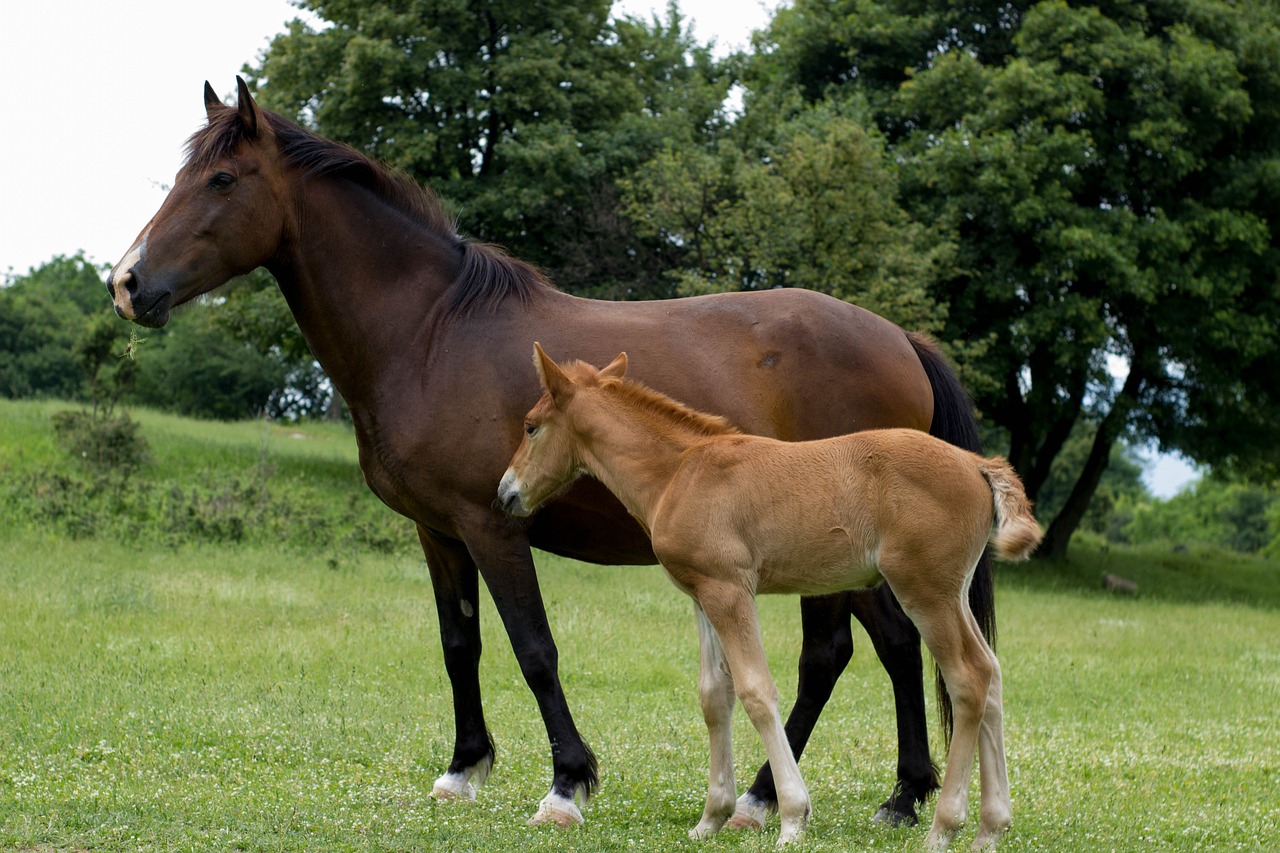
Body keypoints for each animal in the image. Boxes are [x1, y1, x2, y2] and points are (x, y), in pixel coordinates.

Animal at [104, 78, 993, 824]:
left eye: (222, 181)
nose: (126, 283)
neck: (430, 333)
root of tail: (900, 338)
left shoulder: (492, 523)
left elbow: (534, 648)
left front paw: (567, 782)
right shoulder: (438, 530)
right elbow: (459, 644)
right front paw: (462, 769)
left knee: (839, 651)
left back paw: (782, 796)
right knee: (887, 645)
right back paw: (884, 794)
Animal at [494, 343, 1044, 845]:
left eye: (530, 425)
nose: (506, 493)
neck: (679, 471)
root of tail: (977, 464)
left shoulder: (730, 590)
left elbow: (757, 691)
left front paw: (791, 817)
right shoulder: (701, 594)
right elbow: (715, 696)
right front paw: (709, 819)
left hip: (926, 591)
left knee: (968, 678)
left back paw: (944, 828)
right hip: (954, 593)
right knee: (992, 673)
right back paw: (991, 827)